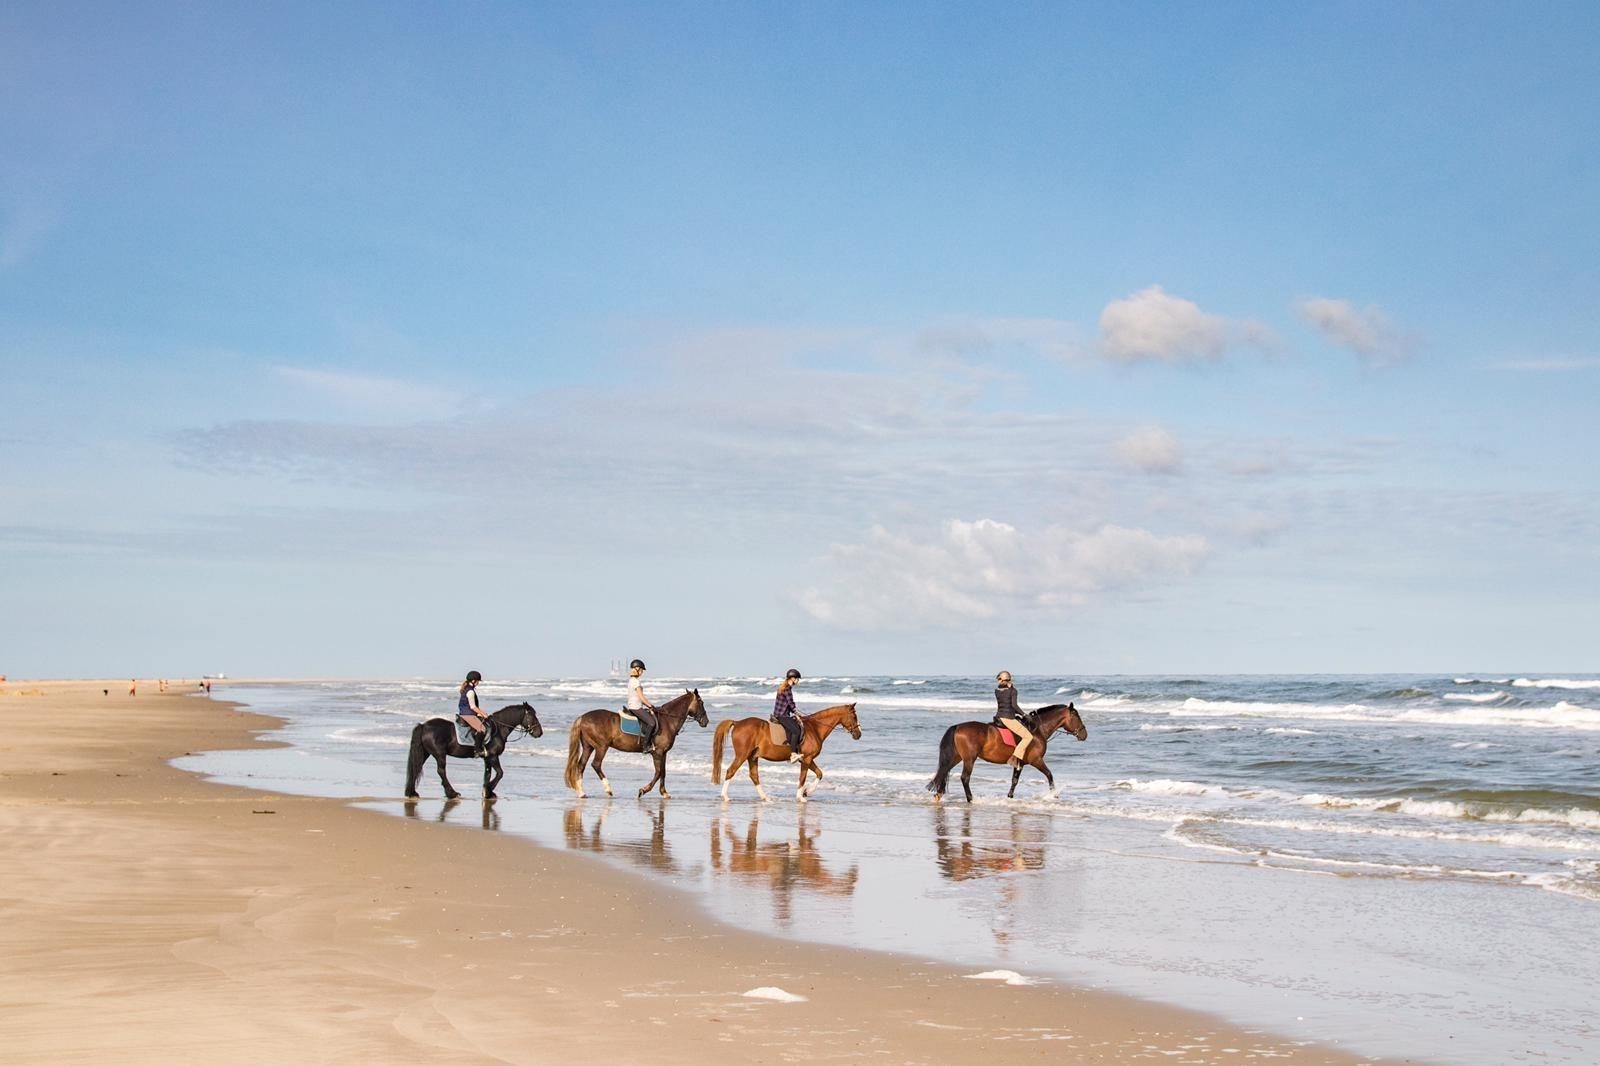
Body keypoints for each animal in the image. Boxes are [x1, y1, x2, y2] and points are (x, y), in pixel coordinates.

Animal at [406, 697, 544, 797]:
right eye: (532, 715)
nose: (540, 733)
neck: (498, 729)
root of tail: (424, 725)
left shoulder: (487, 757)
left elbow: (488, 774)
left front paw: (488, 791)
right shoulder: (493, 756)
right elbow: (500, 773)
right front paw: (488, 790)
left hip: (426, 752)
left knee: (417, 766)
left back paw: (412, 792)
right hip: (439, 754)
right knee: (441, 771)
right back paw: (452, 793)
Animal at [566, 688, 710, 797]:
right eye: (701, 702)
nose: (706, 721)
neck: (667, 720)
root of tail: (583, 717)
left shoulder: (663, 753)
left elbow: (663, 772)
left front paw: (664, 793)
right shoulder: (657, 752)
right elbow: (658, 772)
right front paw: (643, 790)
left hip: (588, 746)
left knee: (581, 765)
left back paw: (581, 792)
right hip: (601, 747)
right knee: (596, 764)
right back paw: (608, 789)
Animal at [713, 697, 864, 797]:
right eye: (854, 716)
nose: (858, 734)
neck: (815, 728)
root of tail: (737, 722)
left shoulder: (807, 759)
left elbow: (819, 774)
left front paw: (806, 792)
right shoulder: (807, 759)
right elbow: (803, 778)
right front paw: (801, 797)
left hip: (752, 756)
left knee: (754, 776)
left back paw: (766, 799)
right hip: (742, 755)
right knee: (731, 771)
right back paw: (725, 797)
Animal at [928, 697, 1088, 797]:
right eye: (1077, 716)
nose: (1084, 735)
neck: (1038, 729)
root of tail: (958, 727)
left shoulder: (1020, 763)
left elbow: (1014, 781)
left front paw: (1010, 796)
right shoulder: (1036, 760)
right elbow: (1049, 775)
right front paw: (1053, 795)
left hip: (957, 757)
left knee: (943, 772)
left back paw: (939, 795)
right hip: (969, 759)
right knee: (964, 778)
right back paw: (970, 798)